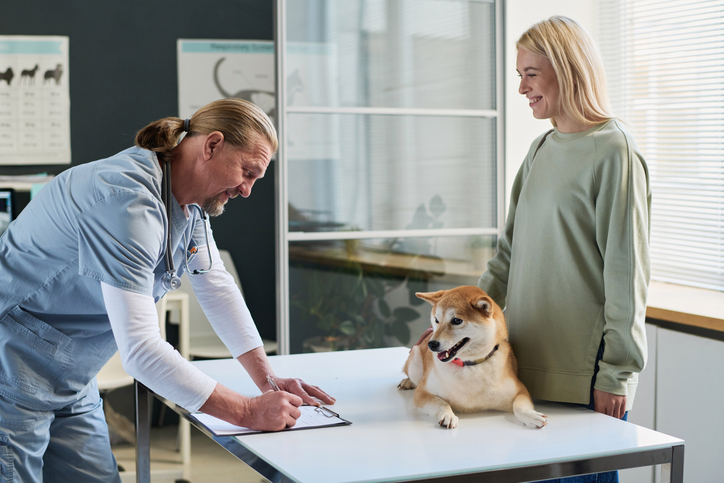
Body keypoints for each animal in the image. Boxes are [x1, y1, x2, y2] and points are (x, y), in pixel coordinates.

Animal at [398, 286, 544, 430]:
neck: (469, 365)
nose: (432, 344)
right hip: (415, 359)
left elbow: (519, 407)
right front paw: (447, 415)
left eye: (457, 320)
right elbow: (441, 403)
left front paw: (532, 415)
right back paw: (408, 382)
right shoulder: (422, 392)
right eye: (436, 320)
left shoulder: (520, 390)